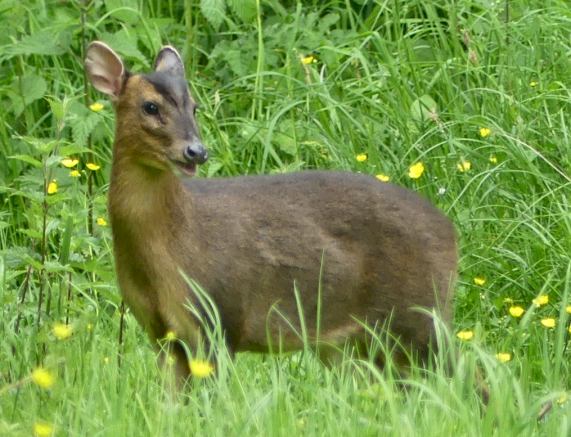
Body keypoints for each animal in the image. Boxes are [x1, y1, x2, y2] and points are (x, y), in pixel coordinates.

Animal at [85, 41, 458, 382]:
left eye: (194, 107)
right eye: (150, 106)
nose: (196, 151)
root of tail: (452, 233)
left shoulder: (218, 317)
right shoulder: (161, 332)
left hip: (419, 316)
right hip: (355, 343)